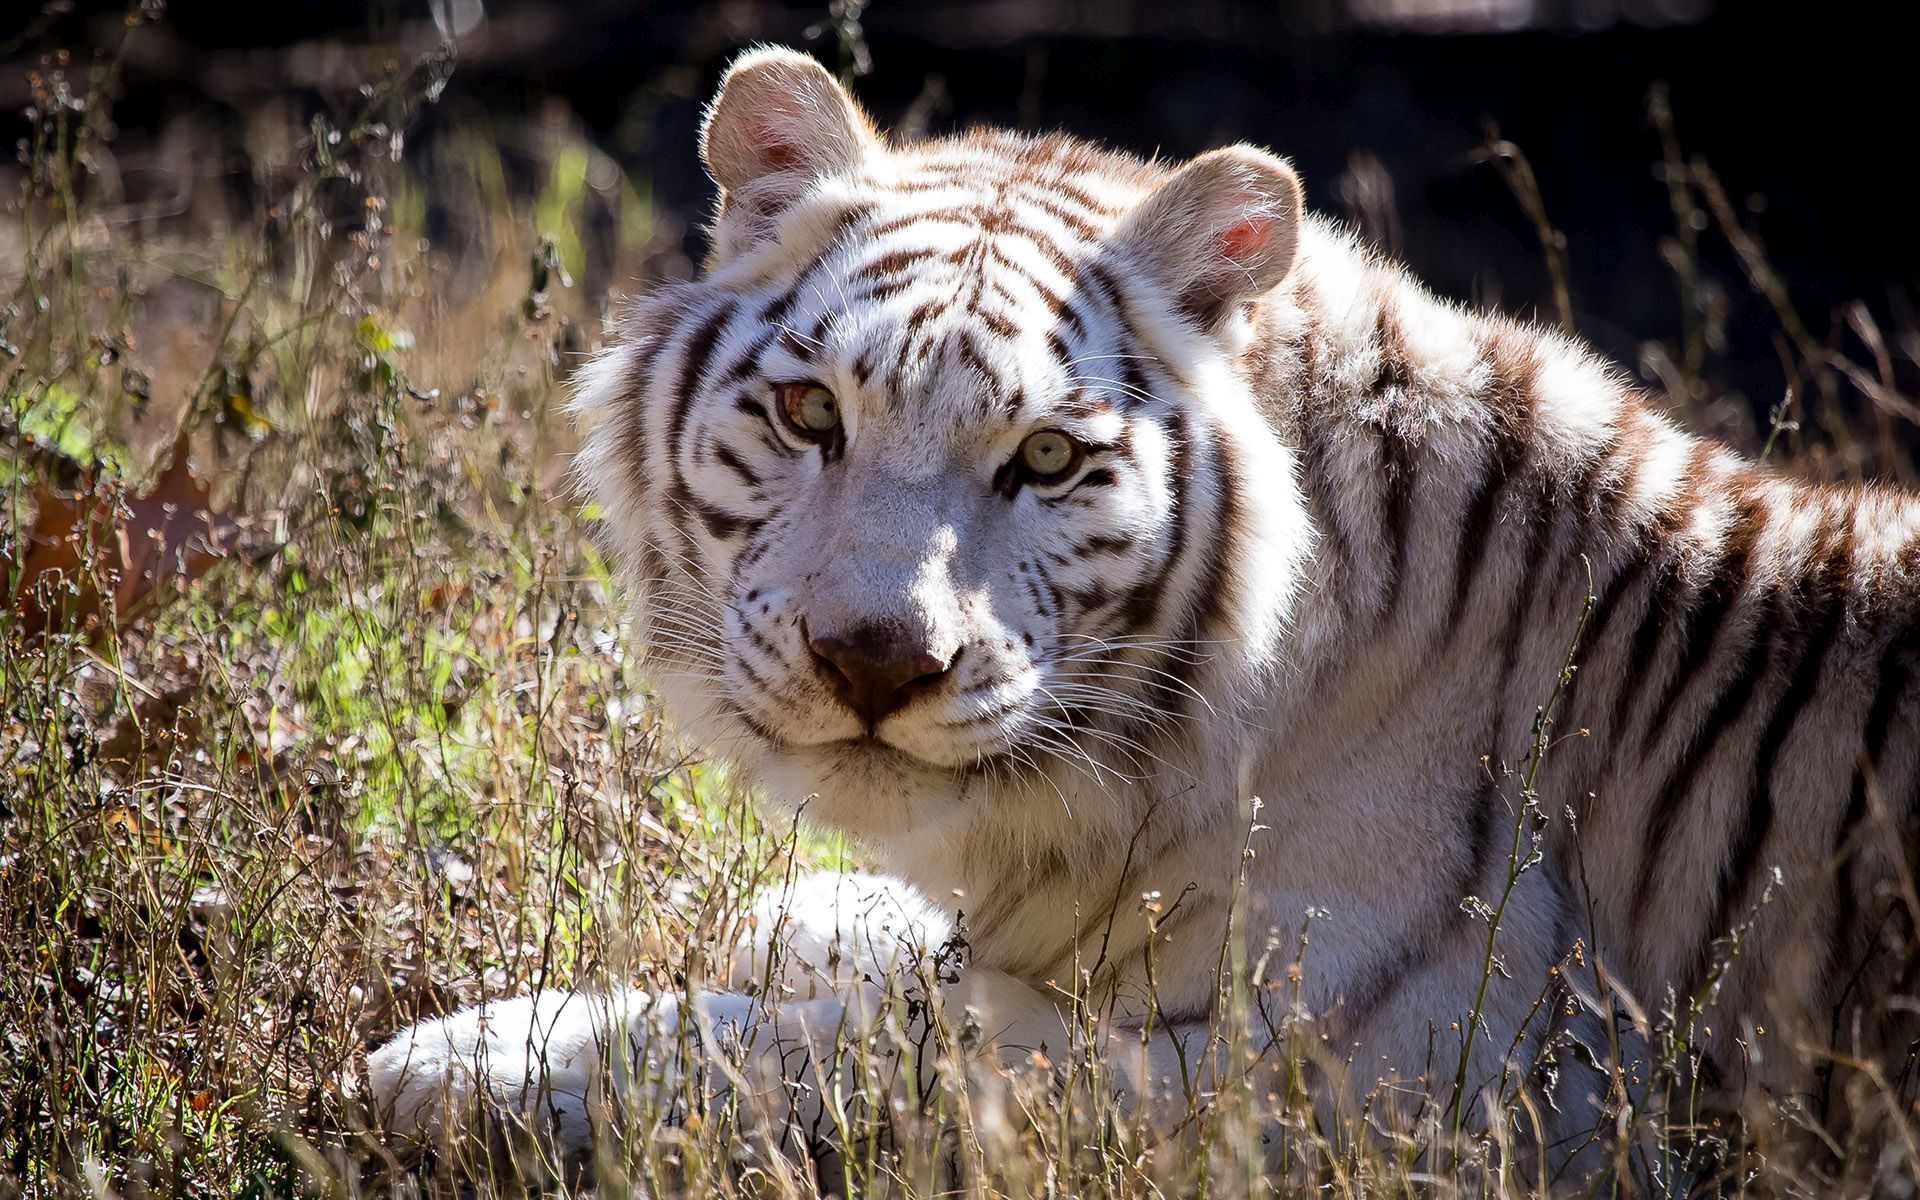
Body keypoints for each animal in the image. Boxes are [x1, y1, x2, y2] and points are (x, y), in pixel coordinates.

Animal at [370, 44, 1920, 1167]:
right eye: (811, 413)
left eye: (1049, 458)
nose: (873, 661)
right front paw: (815, 908)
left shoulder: (1373, 1074)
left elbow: (865, 1043)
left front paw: (473, 1059)